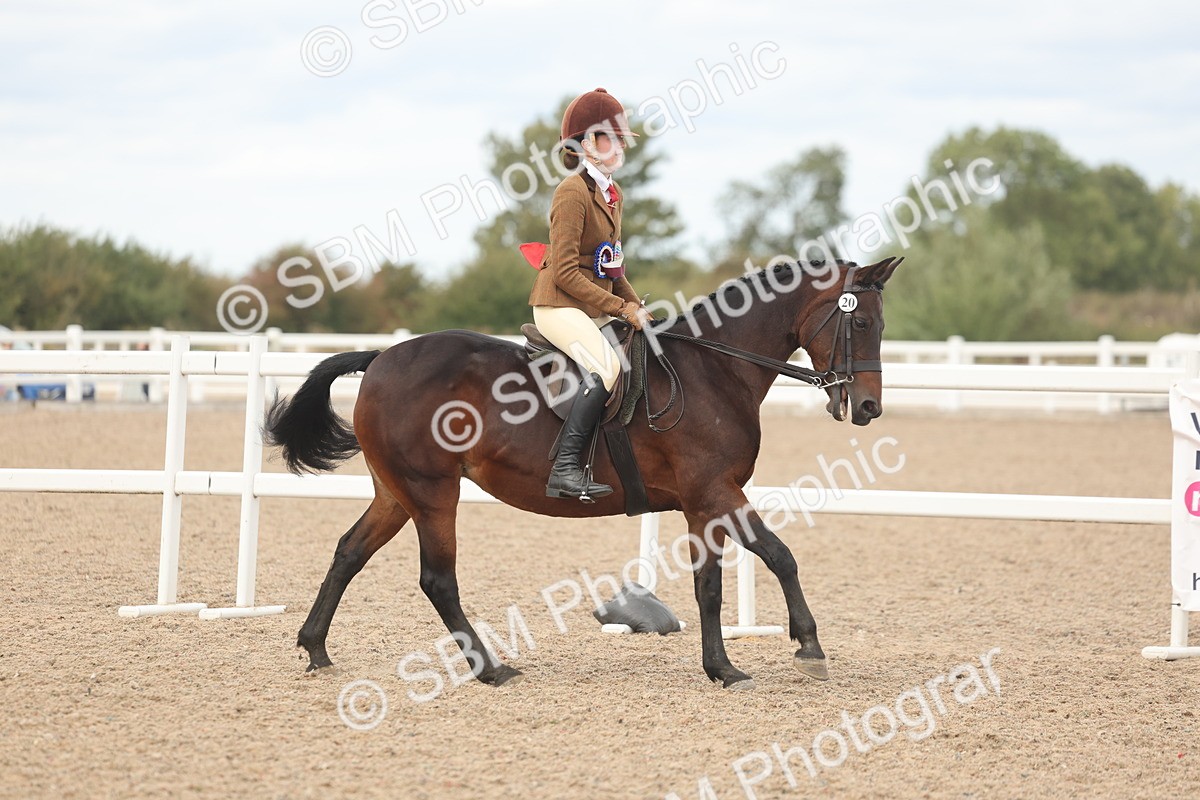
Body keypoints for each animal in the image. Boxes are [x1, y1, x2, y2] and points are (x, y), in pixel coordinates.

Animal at [265, 256, 902, 690]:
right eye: (861, 325)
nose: (869, 407)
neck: (715, 369)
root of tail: (380, 358)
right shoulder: (714, 492)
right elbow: (768, 561)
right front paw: (797, 649)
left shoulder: (705, 502)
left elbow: (721, 581)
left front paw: (730, 663)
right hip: (432, 493)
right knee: (437, 579)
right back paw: (490, 669)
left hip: (397, 493)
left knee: (349, 552)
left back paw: (316, 649)